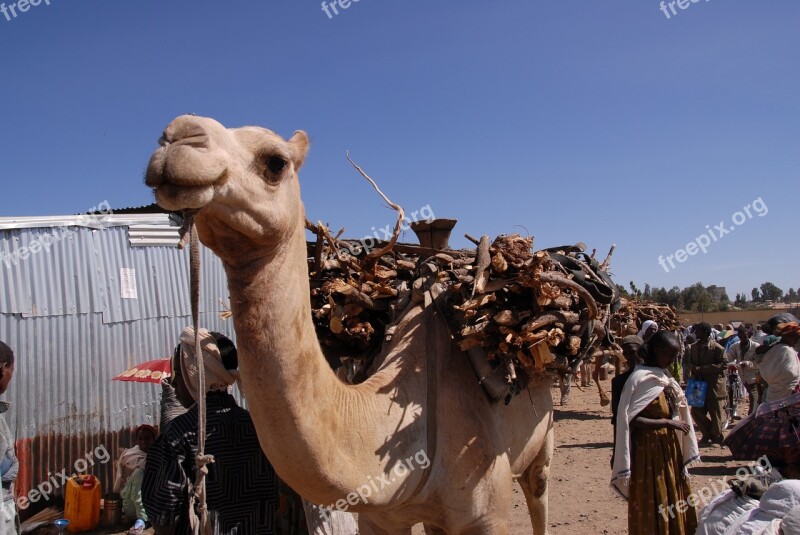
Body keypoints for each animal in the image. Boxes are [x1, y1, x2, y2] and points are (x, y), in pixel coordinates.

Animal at [144, 115, 552, 532]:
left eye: (276, 162)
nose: (177, 137)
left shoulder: (487, 513)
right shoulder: (381, 518)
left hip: (541, 444)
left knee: (538, 493)